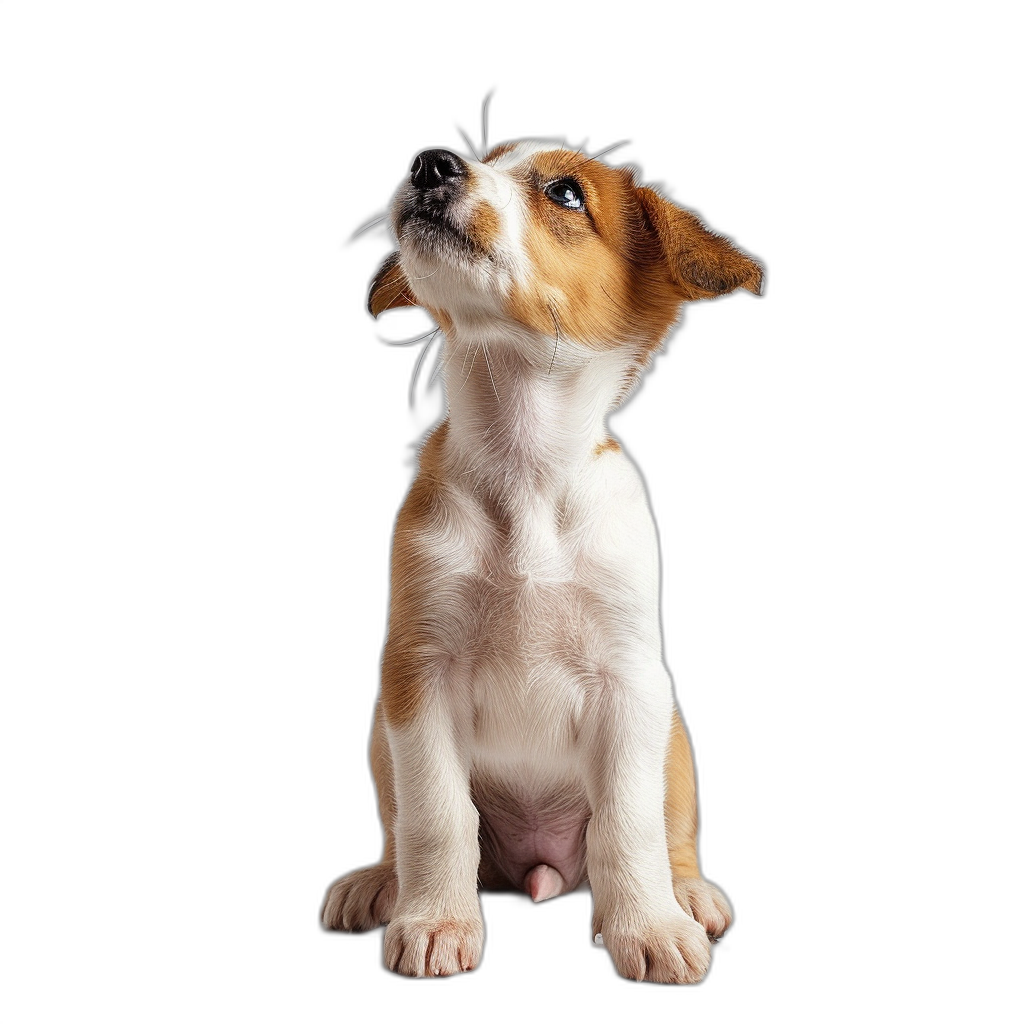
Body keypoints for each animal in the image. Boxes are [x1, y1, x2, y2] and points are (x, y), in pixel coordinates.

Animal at [319, 134, 761, 983]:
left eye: (564, 193)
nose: (430, 163)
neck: (524, 468)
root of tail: (538, 866)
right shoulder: (417, 675)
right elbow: (436, 816)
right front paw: (436, 919)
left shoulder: (629, 683)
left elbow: (628, 822)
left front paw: (647, 926)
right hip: (380, 738)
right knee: (403, 827)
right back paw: (381, 884)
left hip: (672, 737)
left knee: (666, 831)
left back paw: (686, 894)